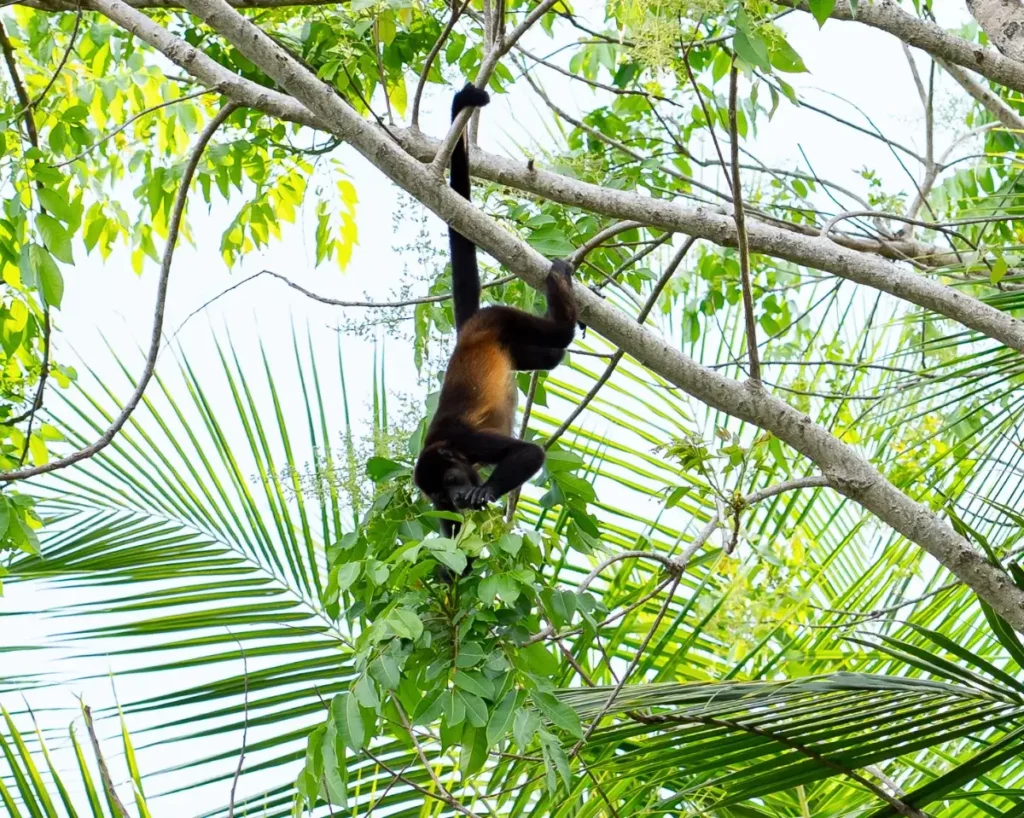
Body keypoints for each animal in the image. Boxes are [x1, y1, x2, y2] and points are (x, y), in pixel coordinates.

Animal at [413, 82, 579, 542]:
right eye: (439, 498)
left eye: (451, 483)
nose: (454, 501)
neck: (443, 448)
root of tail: (470, 328)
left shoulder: (465, 439)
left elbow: (530, 452)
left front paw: (486, 491)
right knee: (551, 356)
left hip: (497, 315)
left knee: (560, 336)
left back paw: (561, 295)